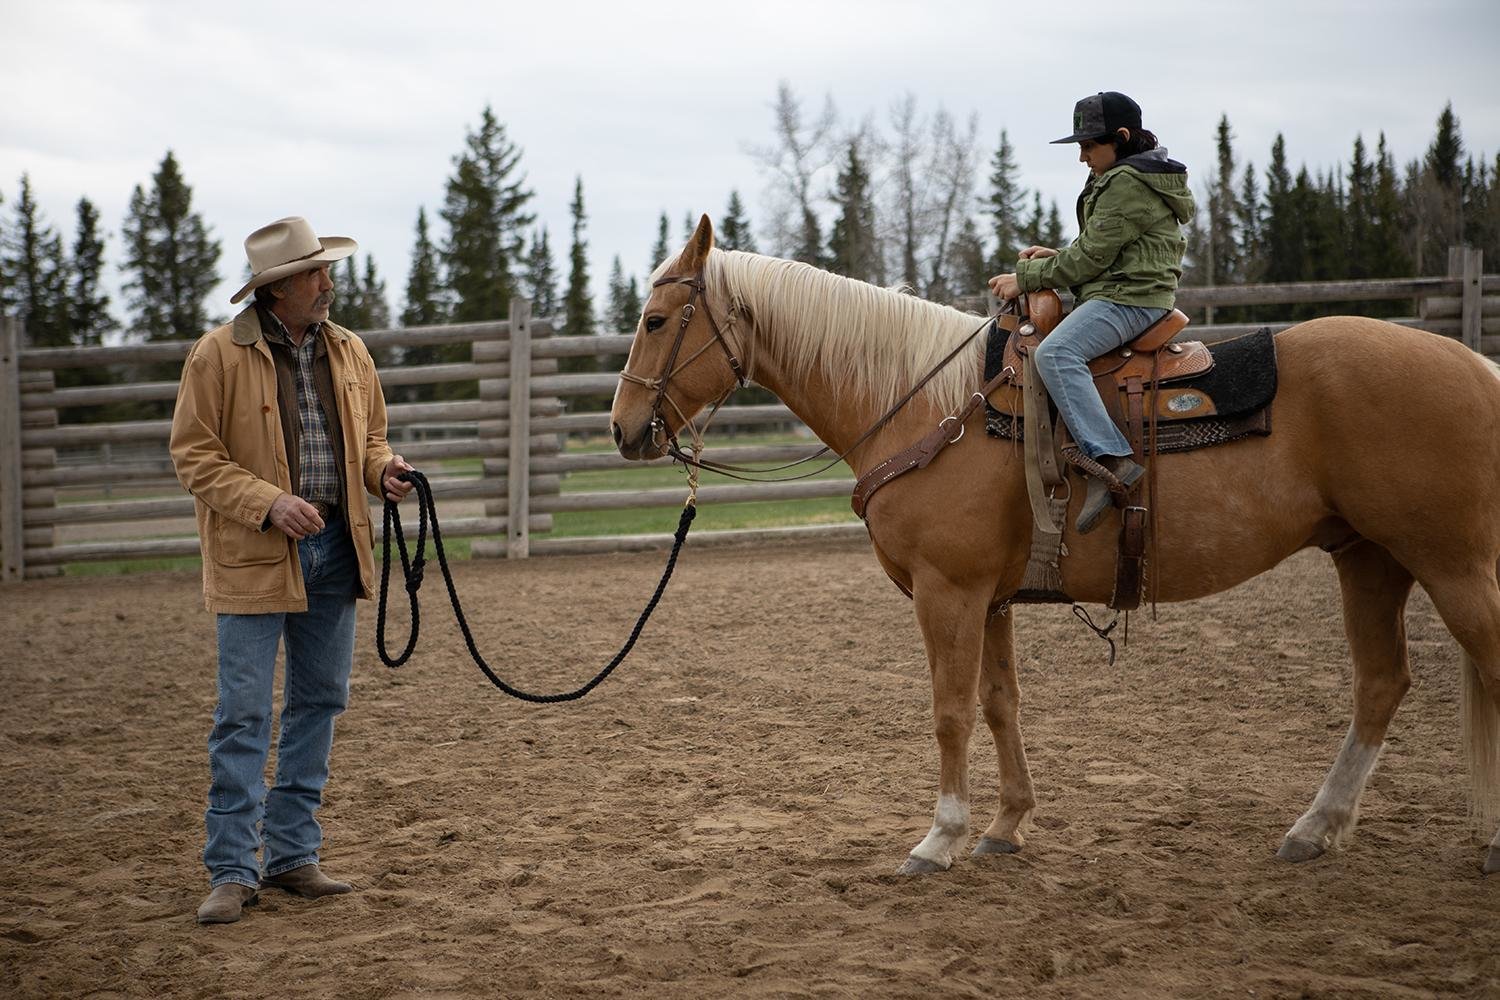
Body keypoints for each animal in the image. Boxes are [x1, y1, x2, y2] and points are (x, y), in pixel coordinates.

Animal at [609, 215, 1500, 869]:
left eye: (655, 319)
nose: (623, 429)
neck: (930, 405)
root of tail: (1476, 367)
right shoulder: (992, 598)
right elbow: (1000, 704)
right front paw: (1006, 826)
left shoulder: (949, 592)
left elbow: (950, 711)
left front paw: (940, 837)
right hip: (1370, 559)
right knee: (1381, 684)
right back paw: (1317, 827)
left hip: (1450, 564)